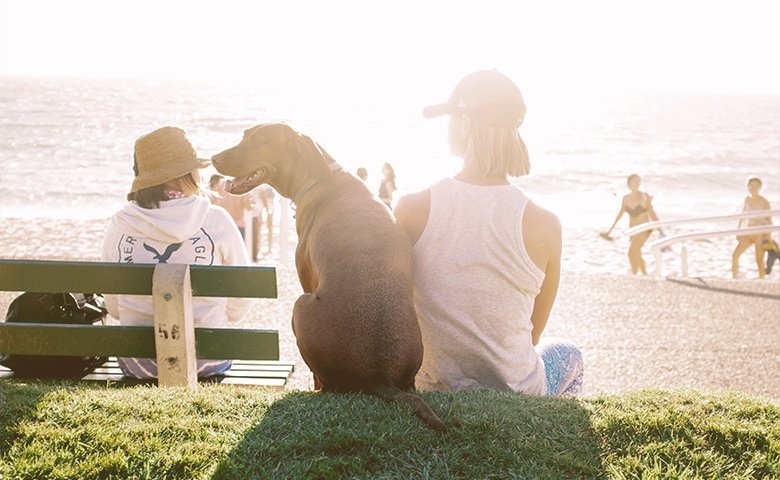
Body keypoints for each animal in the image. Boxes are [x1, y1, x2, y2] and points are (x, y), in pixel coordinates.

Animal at [212, 123, 444, 432]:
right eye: (244, 136)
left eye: (259, 142)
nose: (213, 158)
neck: (319, 176)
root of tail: (379, 376)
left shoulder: (306, 278)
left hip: (300, 305)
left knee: (325, 380)